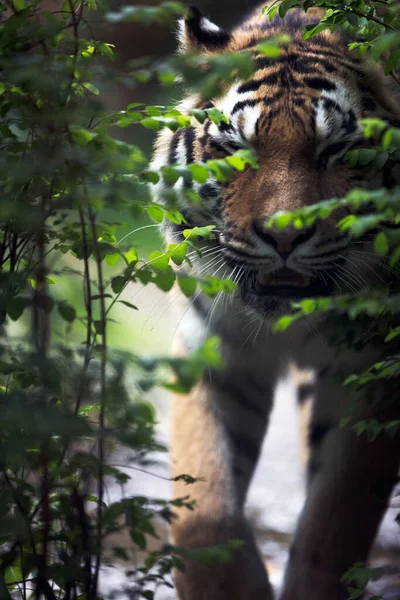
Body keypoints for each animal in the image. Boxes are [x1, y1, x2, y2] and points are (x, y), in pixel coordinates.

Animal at [149, 2, 400, 596]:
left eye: (336, 149)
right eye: (235, 147)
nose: (284, 235)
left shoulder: (372, 368)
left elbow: (337, 516)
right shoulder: (216, 346)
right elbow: (204, 511)